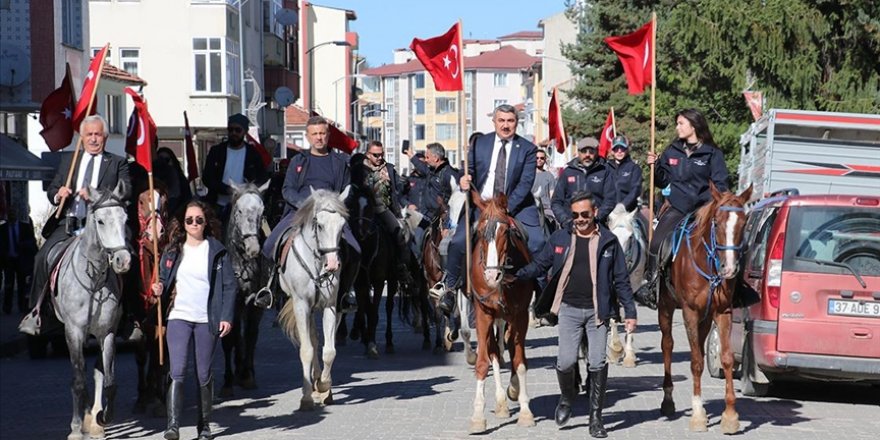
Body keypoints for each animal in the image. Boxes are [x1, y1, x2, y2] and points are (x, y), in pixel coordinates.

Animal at [54, 180, 131, 440]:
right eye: (100, 221)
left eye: (125, 218)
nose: (123, 261)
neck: (94, 281)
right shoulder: (74, 331)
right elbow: (78, 380)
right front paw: (77, 427)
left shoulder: (107, 332)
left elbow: (109, 380)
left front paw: (102, 418)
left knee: (97, 373)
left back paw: (95, 419)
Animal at [276, 187, 348, 410]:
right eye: (320, 225)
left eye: (342, 225)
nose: (332, 265)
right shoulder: (301, 305)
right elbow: (307, 349)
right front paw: (307, 396)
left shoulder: (330, 306)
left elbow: (329, 351)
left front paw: (324, 385)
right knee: (312, 340)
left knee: (318, 341)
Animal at [468, 195, 536, 434]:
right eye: (480, 231)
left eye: (505, 232)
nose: (491, 276)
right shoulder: (483, 315)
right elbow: (483, 362)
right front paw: (478, 416)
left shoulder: (521, 314)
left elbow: (520, 361)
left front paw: (525, 411)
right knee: (495, 353)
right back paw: (500, 403)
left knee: (509, 347)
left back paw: (513, 390)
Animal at [604, 204, 648, 368]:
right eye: (612, 236)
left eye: (630, 237)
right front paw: (615, 348)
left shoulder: (633, 285)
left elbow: (630, 312)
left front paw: (629, 355)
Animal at [656, 183, 752, 434]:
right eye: (716, 223)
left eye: (743, 223)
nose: (730, 268)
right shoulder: (689, 312)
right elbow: (697, 362)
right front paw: (698, 415)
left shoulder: (722, 312)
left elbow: (726, 358)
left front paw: (730, 415)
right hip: (665, 307)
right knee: (667, 345)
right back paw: (668, 401)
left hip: (706, 317)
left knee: (698, 345)